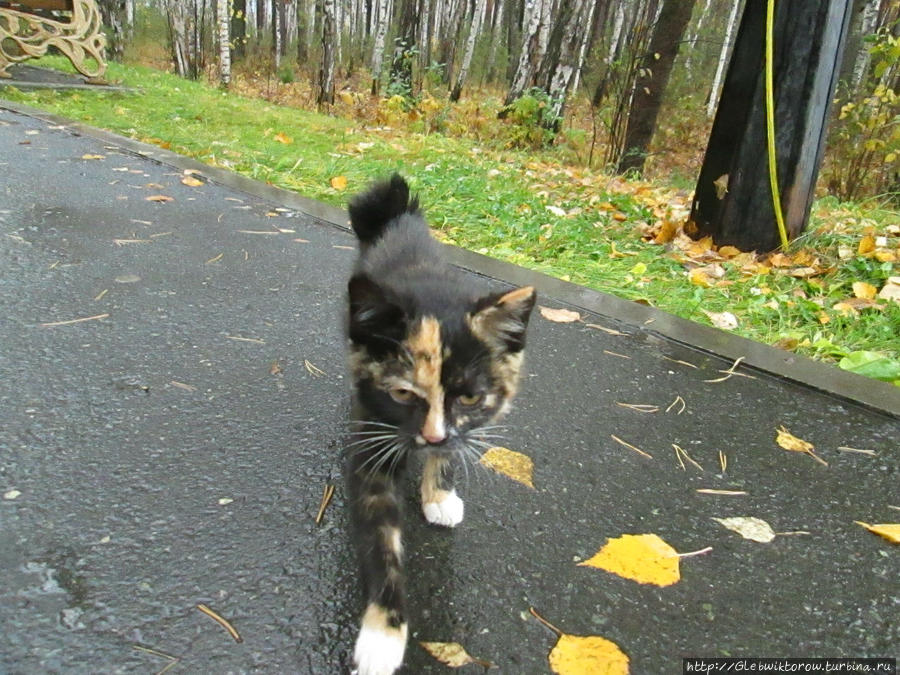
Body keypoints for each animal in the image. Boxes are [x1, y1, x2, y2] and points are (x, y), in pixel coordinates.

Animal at [344, 176, 536, 675]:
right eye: (402, 394)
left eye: (468, 396)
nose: (431, 436)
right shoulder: (372, 435)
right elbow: (381, 539)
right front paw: (383, 635)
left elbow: (454, 448)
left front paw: (440, 494)